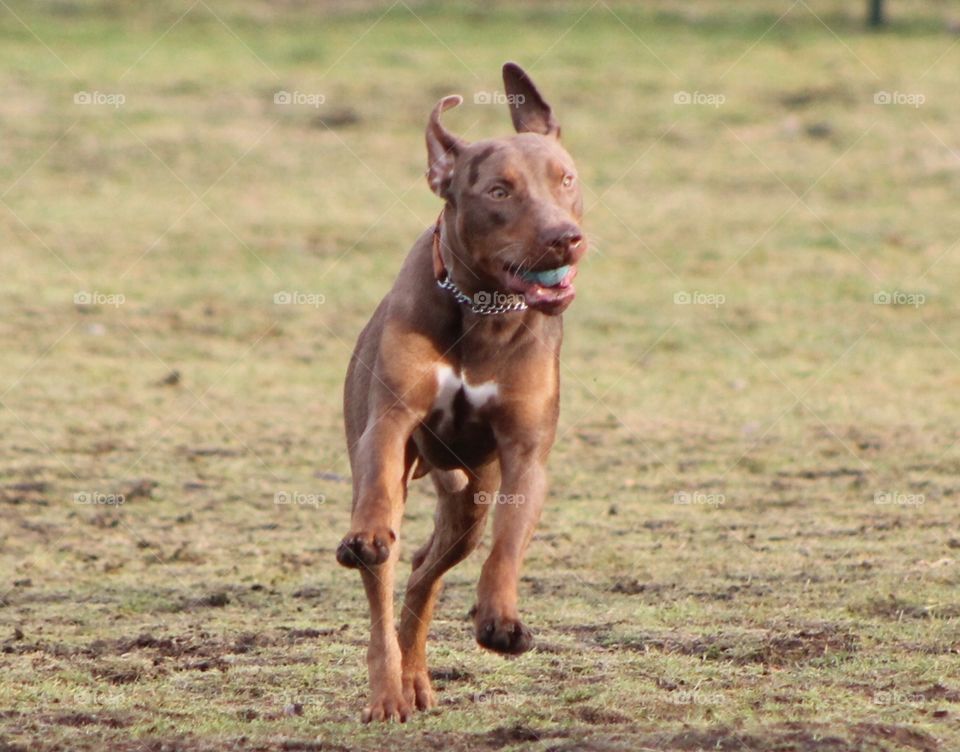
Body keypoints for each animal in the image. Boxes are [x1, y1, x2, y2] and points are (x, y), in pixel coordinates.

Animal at [342, 63, 588, 724]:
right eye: (499, 192)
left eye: (566, 179)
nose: (566, 237)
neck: (482, 311)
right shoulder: (390, 419)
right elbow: (378, 490)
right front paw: (368, 532)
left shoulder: (524, 452)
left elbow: (508, 543)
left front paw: (500, 619)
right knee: (387, 579)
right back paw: (389, 689)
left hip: (469, 499)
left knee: (427, 570)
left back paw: (416, 675)